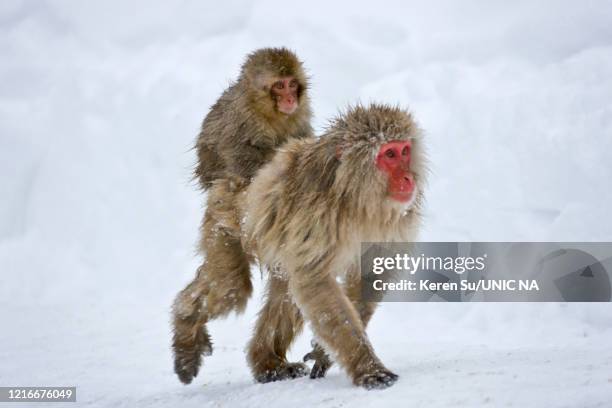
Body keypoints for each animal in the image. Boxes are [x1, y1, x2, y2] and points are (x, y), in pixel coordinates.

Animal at [172, 102, 428, 388]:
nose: (408, 178)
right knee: (232, 288)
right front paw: (368, 367)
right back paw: (186, 329)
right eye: (390, 154)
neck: (354, 196)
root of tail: (230, 180)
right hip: (224, 227)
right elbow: (314, 279)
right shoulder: (316, 217)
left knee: (285, 291)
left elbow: (369, 275)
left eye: (405, 151)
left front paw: (323, 353)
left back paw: (266, 363)